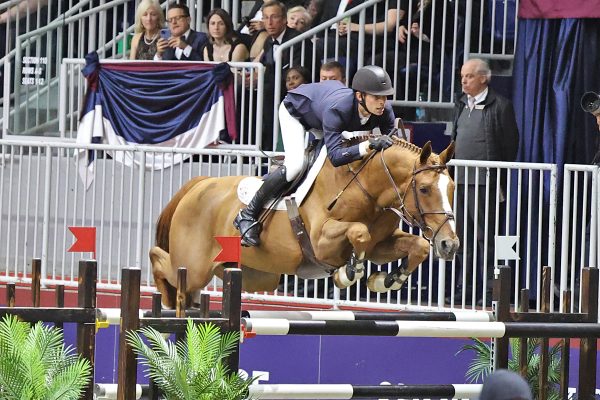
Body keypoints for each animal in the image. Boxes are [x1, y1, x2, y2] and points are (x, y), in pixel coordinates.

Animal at [150, 138, 460, 306]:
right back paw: (164, 298)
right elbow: (359, 232)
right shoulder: (322, 242)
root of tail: (199, 184)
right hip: (193, 266)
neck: (368, 188)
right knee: (161, 261)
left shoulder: (379, 246)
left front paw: (387, 280)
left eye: (453, 188)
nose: (450, 245)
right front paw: (349, 272)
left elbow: (418, 246)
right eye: (424, 189)